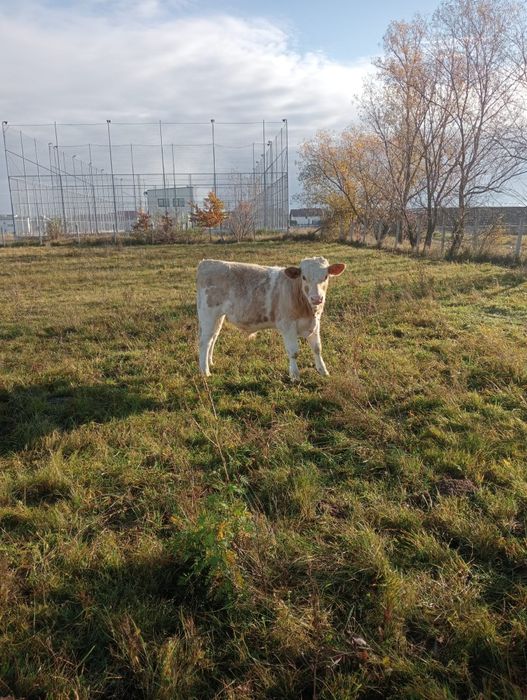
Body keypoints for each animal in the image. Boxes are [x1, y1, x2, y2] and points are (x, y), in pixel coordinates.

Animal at [196, 256, 346, 380]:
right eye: (303, 277)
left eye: (325, 276)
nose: (316, 298)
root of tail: (206, 262)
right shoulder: (287, 325)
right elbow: (293, 352)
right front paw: (295, 375)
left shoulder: (315, 324)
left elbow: (317, 348)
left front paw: (323, 371)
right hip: (208, 314)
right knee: (205, 342)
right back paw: (205, 371)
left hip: (218, 317)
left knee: (213, 337)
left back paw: (210, 362)